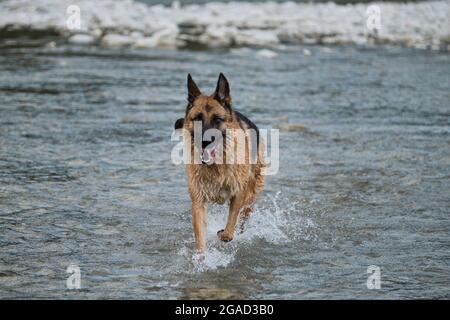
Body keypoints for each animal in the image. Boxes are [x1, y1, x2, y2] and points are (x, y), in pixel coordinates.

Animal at [173, 73, 264, 252]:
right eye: (197, 119)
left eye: (217, 119)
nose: (205, 141)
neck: (216, 165)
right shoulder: (198, 200)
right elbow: (200, 237)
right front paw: (201, 256)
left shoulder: (239, 194)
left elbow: (230, 227)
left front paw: (224, 234)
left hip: (251, 194)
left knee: (243, 218)